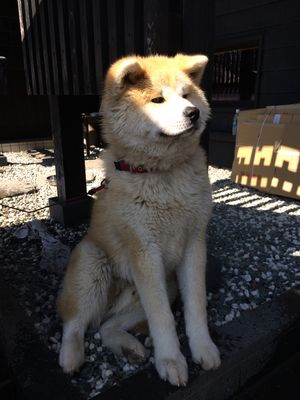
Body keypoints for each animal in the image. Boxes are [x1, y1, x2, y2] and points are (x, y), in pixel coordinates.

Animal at [57, 54, 220, 386]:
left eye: (187, 95)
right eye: (157, 99)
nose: (193, 112)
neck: (162, 173)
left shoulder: (194, 244)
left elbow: (196, 305)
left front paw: (203, 348)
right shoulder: (145, 251)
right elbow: (162, 318)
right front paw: (170, 360)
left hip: (160, 286)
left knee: (106, 325)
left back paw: (128, 347)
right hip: (92, 265)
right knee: (75, 323)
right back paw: (71, 357)